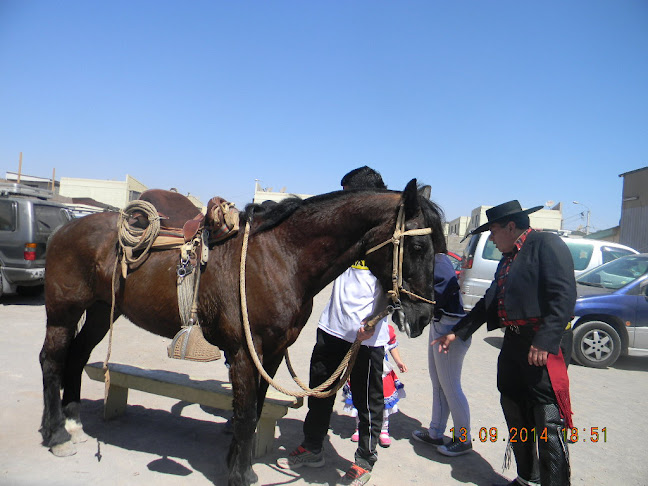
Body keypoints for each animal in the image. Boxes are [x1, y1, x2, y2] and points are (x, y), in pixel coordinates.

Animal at [38, 179, 446, 486]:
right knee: (51, 361)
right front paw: (239, 475)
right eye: (417, 245)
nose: (424, 316)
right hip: (62, 312)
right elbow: (247, 413)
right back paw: (56, 435)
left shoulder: (271, 353)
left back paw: (71, 422)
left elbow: (254, 409)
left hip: (99, 312)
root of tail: (64, 227)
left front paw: (240, 464)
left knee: (76, 357)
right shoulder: (245, 352)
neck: (280, 257)